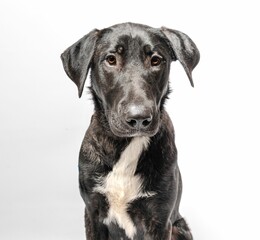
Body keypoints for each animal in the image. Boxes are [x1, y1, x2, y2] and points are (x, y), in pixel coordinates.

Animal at [60, 23, 199, 240]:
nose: (139, 118)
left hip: (180, 227)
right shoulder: (92, 212)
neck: (126, 146)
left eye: (156, 60)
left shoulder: (160, 220)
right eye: (111, 59)